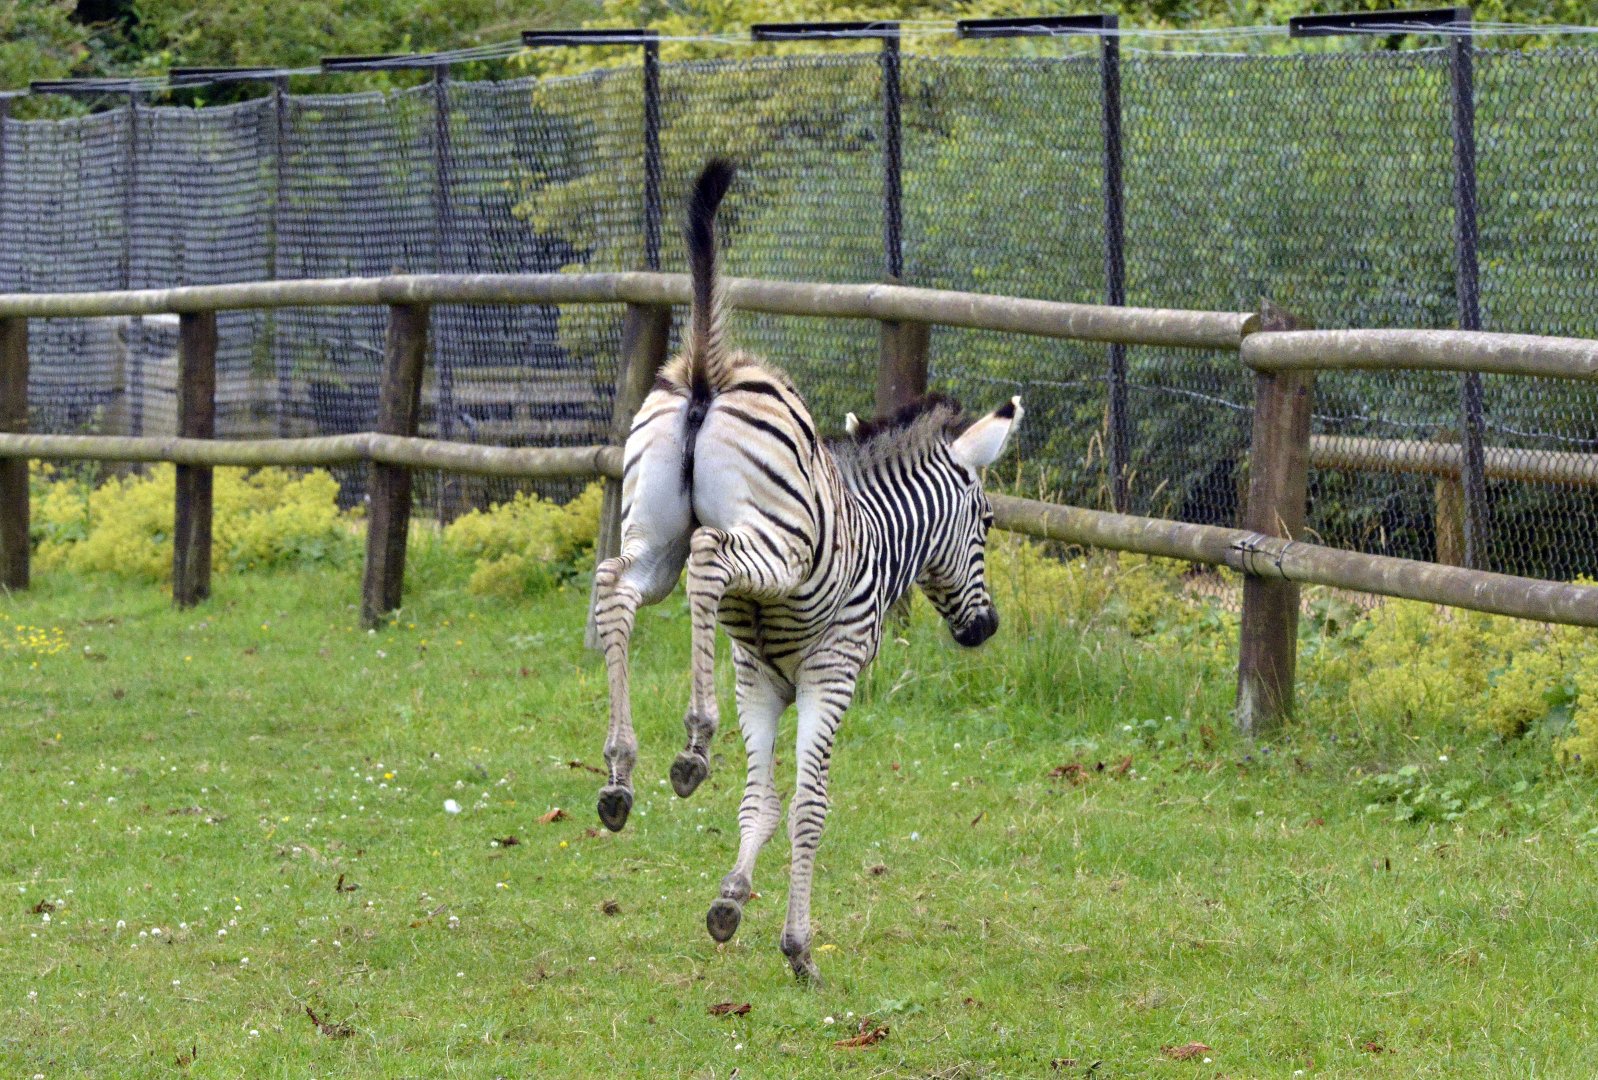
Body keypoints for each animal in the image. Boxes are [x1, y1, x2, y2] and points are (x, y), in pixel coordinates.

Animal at [589, 159, 1022, 983]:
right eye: (985, 524)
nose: (985, 630)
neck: (879, 531)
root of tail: (710, 364)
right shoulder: (832, 671)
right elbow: (808, 806)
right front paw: (798, 948)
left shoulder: (760, 679)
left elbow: (761, 800)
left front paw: (730, 904)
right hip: (774, 548)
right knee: (709, 559)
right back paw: (693, 741)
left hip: (652, 536)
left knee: (616, 585)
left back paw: (621, 771)